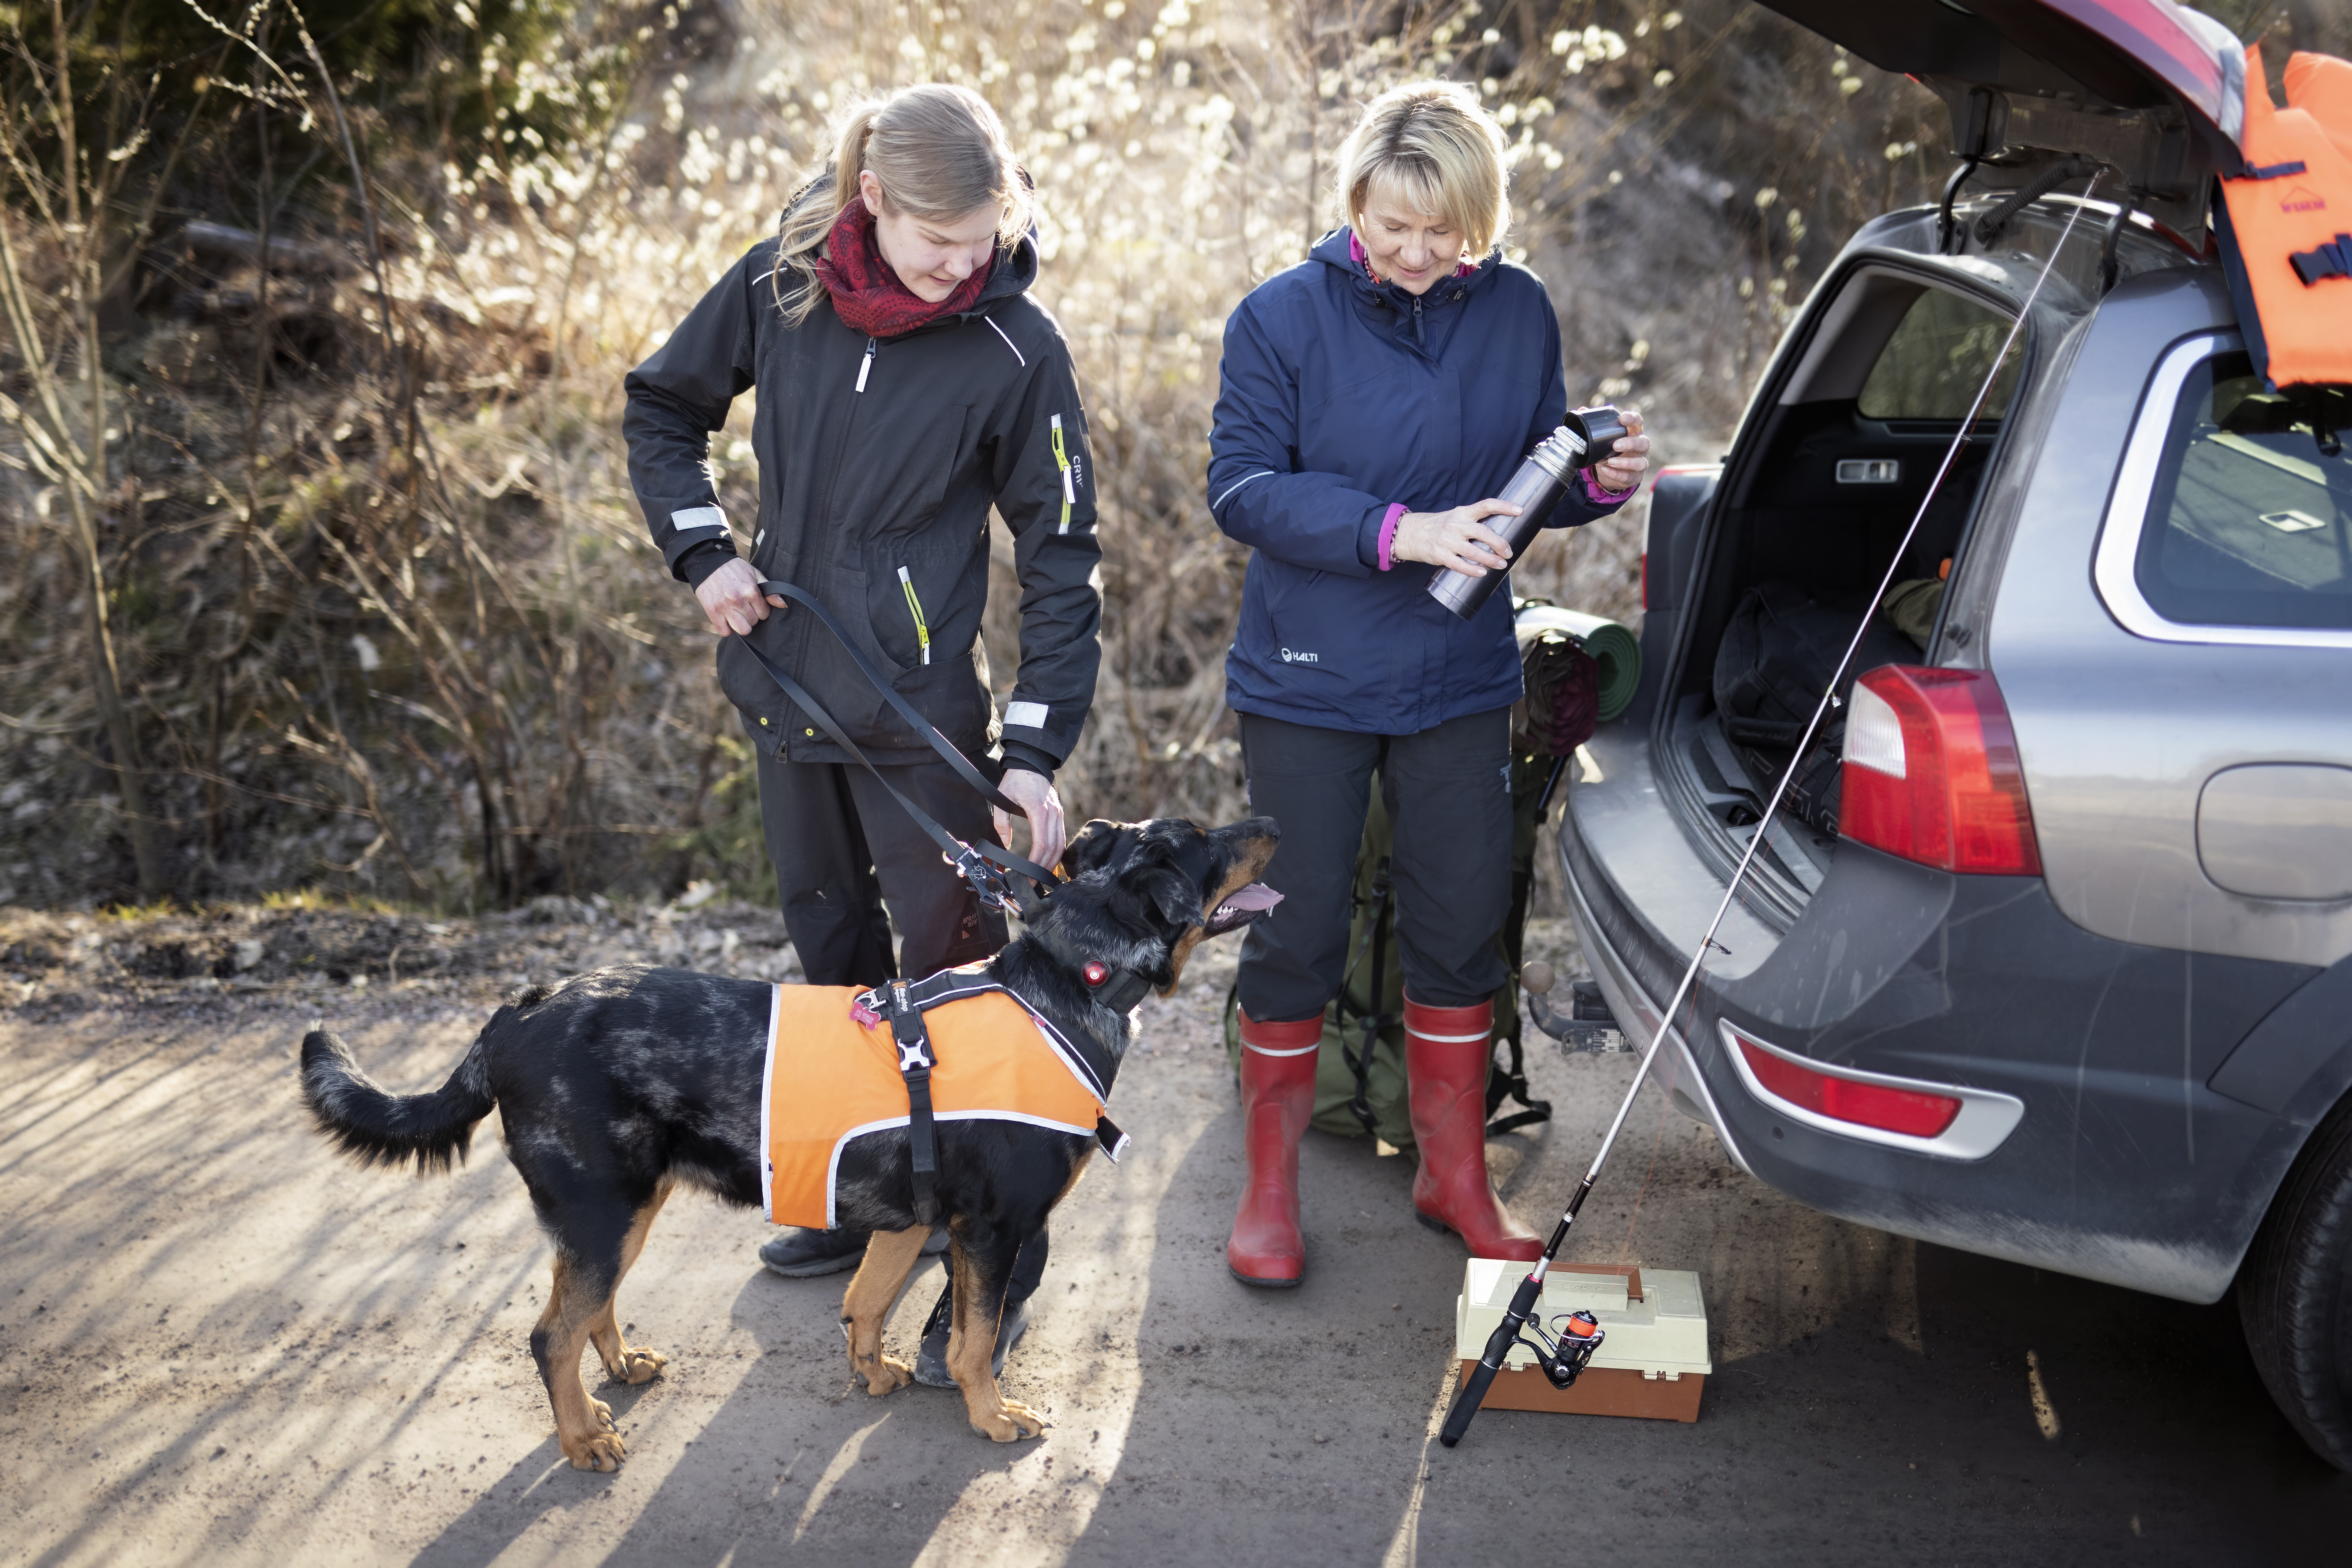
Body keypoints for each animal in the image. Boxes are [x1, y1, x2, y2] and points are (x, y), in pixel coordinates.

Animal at [305, 823, 1289, 1476]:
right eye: (1202, 841)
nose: (1270, 823)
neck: (1068, 977)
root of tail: (515, 1013)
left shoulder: (910, 1215)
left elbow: (867, 1301)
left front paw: (873, 1370)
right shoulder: (990, 1229)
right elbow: (971, 1340)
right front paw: (990, 1418)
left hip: (622, 1210)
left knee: (588, 1313)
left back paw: (619, 1368)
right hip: (602, 1212)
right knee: (551, 1333)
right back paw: (583, 1435)